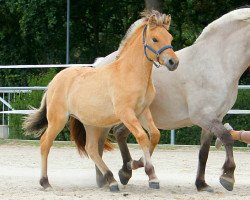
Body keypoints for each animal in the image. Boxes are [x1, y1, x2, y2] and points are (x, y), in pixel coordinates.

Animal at [22, 10, 179, 191]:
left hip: (90, 123)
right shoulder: (126, 113)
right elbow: (142, 137)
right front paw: (141, 171)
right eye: (155, 39)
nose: (173, 62)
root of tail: (53, 82)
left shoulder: (142, 111)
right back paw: (45, 182)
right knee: (45, 143)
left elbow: (154, 135)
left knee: (91, 149)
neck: (130, 73)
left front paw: (142, 170)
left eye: (170, 37)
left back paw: (111, 180)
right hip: (58, 120)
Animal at [94, 8, 250, 192]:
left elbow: (203, 152)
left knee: (119, 134)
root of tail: (100, 62)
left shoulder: (214, 118)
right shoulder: (203, 116)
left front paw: (202, 184)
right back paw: (105, 178)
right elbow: (227, 138)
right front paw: (228, 177)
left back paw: (125, 172)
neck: (217, 62)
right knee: (98, 143)